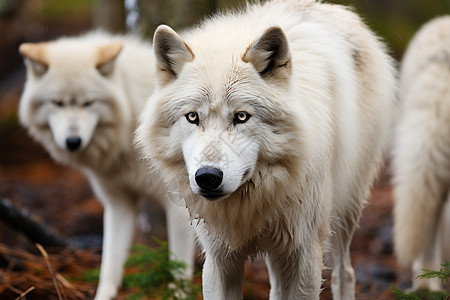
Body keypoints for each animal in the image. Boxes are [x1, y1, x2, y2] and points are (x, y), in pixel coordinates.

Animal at [19, 31, 195, 298]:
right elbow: (110, 265)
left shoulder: (178, 206)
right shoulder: (118, 204)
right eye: (57, 103)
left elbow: (179, 269)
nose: (73, 142)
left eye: (89, 103)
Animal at [135, 0, 396, 298]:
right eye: (192, 117)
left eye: (241, 117)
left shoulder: (304, 254)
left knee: (345, 273)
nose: (208, 177)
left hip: (345, 208)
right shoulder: (219, 258)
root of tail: (336, 9)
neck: (250, 203)